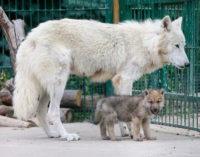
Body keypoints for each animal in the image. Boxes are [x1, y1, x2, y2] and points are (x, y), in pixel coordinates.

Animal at [12, 15, 189, 141]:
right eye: (176, 46)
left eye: (184, 45)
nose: (187, 64)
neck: (144, 43)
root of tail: (30, 37)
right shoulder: (125, 79)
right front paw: (133, 134)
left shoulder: (118, 81)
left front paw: (124, 132)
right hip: (59, 84)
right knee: (52, 112)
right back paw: (67, 136)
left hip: (46, 89)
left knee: (40, 112)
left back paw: (52, 134)